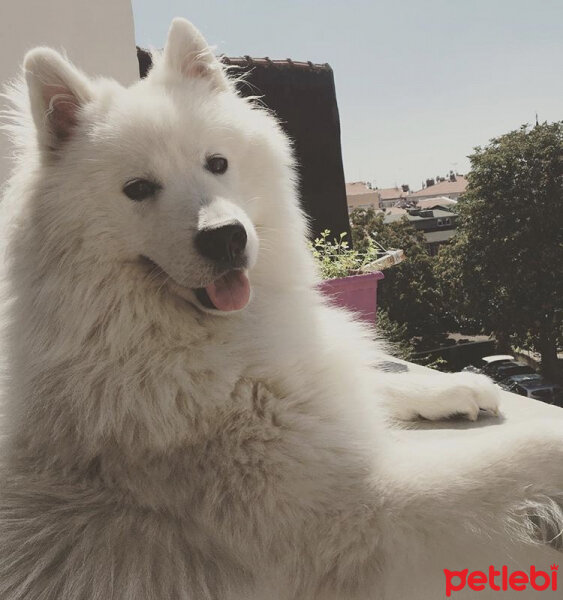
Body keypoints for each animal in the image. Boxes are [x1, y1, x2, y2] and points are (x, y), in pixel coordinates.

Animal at [1, 17, 563, 600]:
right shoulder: (355, 516)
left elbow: (368, 379)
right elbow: (521, 454)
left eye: (217, 163)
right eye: (138, 189)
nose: (225, 237)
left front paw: (452, 388)